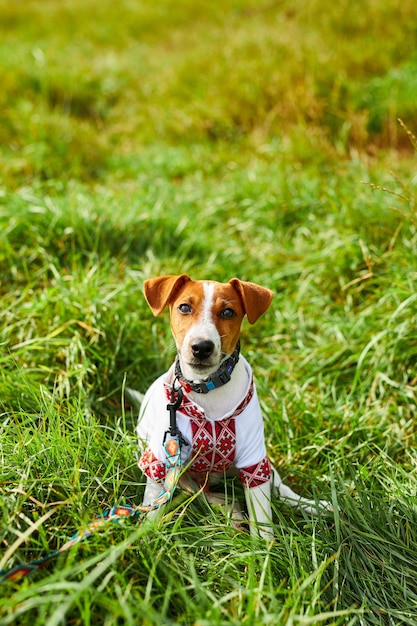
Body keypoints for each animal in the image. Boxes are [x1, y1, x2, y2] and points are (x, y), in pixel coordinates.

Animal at [135, 272, 330, 536]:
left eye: (228, 312)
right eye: (184, 307)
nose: (202, 347)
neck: (207, 388)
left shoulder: (253, 459)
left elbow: (262, 517)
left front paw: (265, 546)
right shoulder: (161, 458)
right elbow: (154, 503)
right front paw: (146, 534)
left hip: (263, 463)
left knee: (278, 489)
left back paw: (311, 506)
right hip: (181, 474)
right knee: (202, 494)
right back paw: (232, 512)